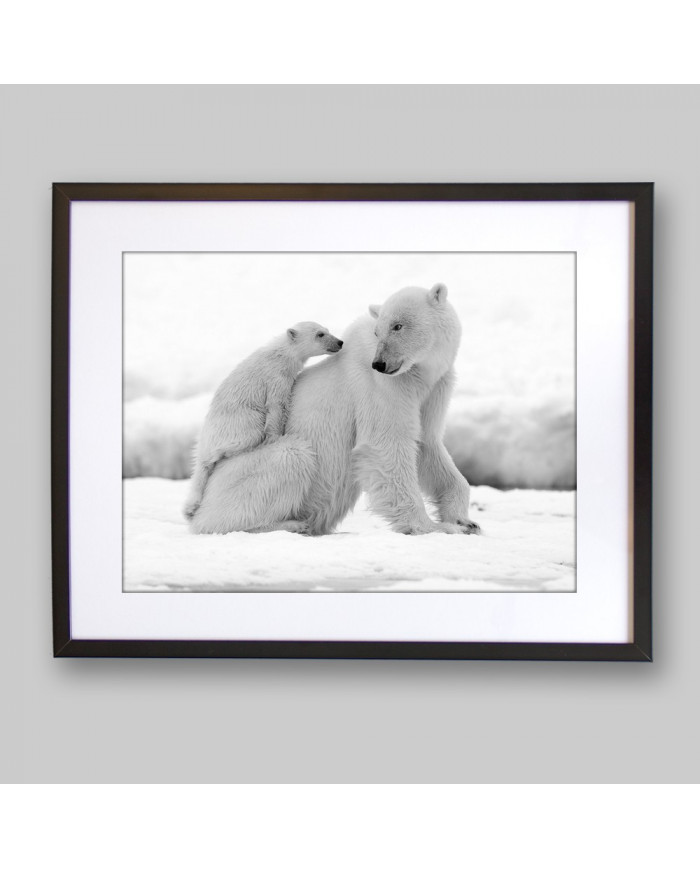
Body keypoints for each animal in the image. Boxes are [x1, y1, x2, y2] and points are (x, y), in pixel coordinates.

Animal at [183, 321, 343, 521]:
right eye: (320, 334)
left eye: (327, 330)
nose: (339, 342)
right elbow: (276, 405)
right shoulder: (275, 376)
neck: (281, 353)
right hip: (238, 421)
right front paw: (275, 437)